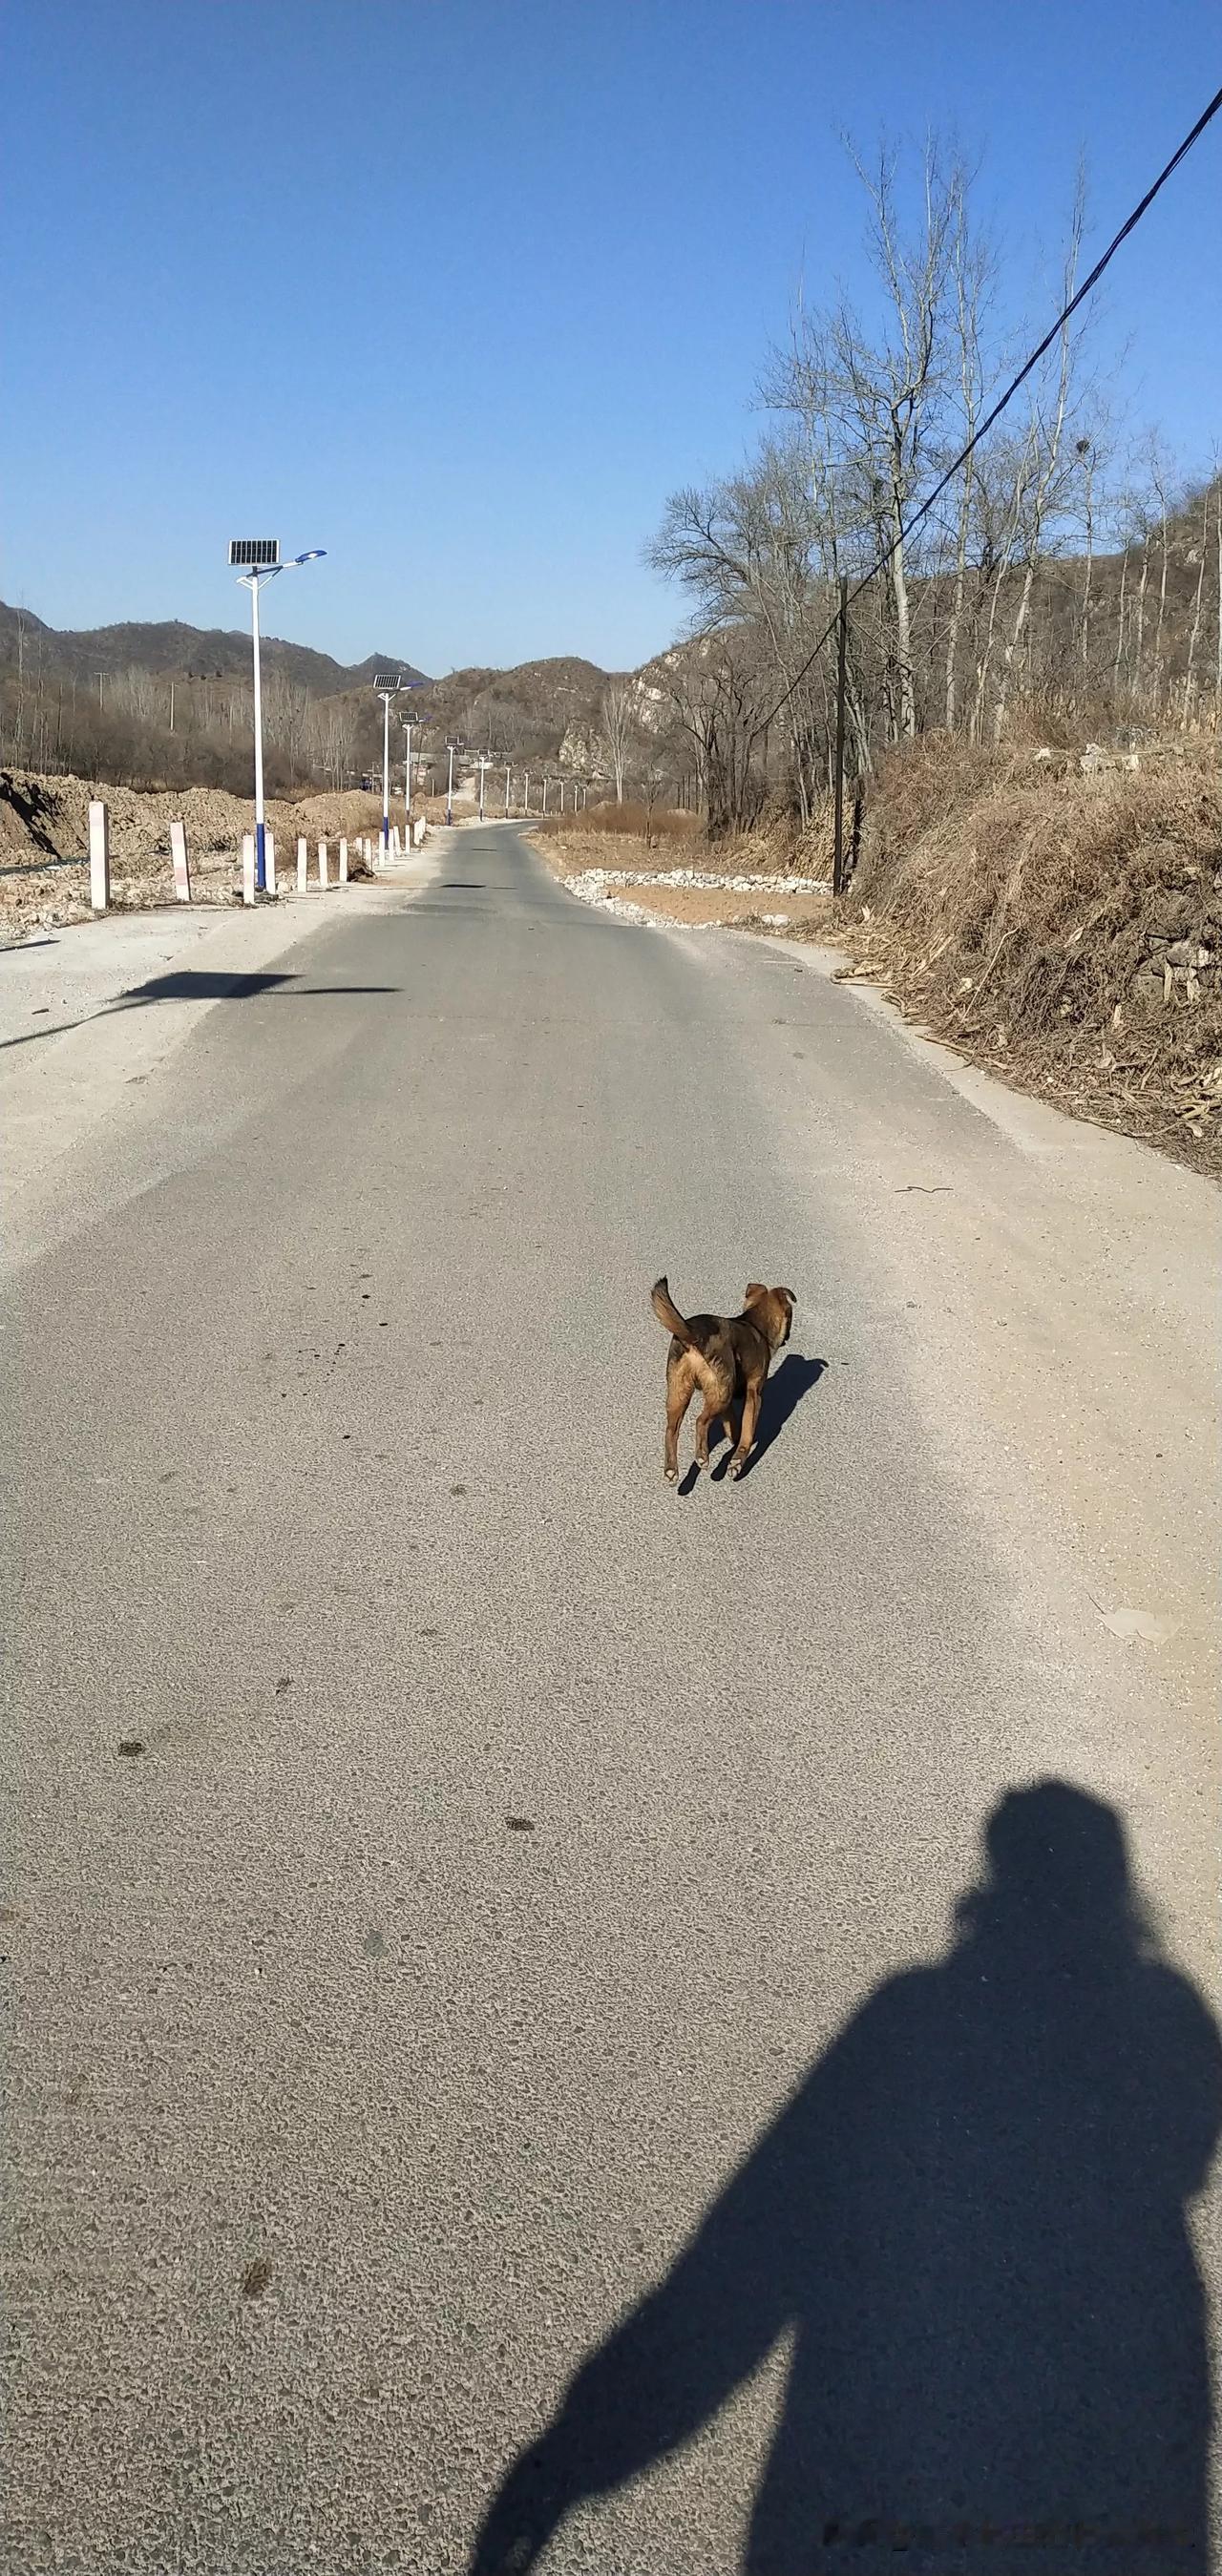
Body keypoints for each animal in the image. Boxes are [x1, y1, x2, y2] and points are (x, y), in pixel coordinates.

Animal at [654, 1272, 799, 1483]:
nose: (788, 1336)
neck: (755, 1324)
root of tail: (692, 1334)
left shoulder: (729, 1395)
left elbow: (733, 1423)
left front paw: (734, 1439)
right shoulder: (754, 1394)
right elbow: (747, 1430)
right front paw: (737, 1461)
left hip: (681, 1391)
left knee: (671, 1430)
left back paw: (671, 1470)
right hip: (718, 1393)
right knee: (700, 1421)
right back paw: (702, 1456)